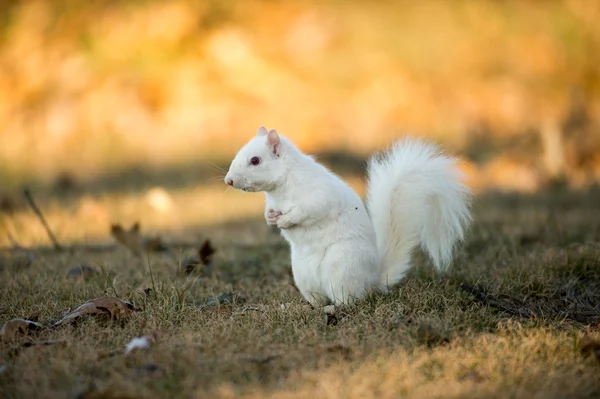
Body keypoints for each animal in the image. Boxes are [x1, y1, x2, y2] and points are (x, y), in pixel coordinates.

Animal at [225, 126, 474, 308]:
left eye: (255, 160)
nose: (229, 180)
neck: (282, 186)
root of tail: (373, 279)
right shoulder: (273, 202)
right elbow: (270, 211)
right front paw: (271, 219)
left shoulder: (319, 197)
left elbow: (308, 211)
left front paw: (286, 221)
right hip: (303, 276)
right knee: (317, 297)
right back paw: (307, 307)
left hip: (342, 268)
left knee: (349, 301)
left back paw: (334, 308)